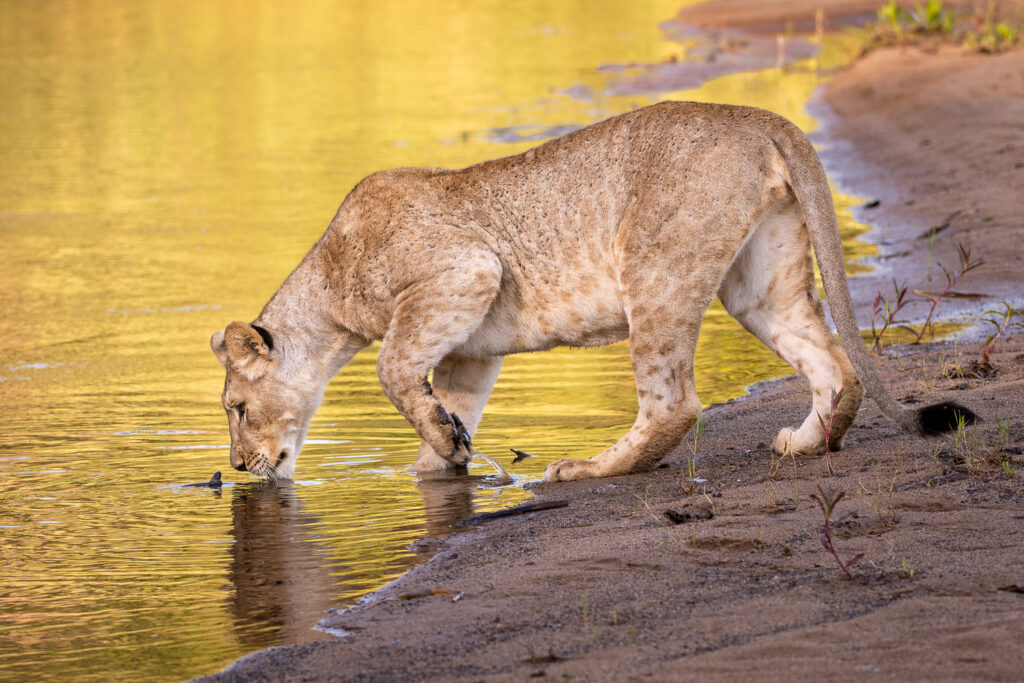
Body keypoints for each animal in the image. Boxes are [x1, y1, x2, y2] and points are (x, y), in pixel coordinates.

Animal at [210, 101, 973, 483]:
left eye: (237, 408)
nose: (238, 466)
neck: (329, 279)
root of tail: (763, 118)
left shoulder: (465, 271)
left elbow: (392, 368)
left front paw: (443, 445)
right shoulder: (469, 348)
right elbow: (447, 402)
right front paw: (442, 460)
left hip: (655, 270)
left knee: (674, 404)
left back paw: (585, 469)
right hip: (761, 284)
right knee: (834, 364)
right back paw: (807, 443)